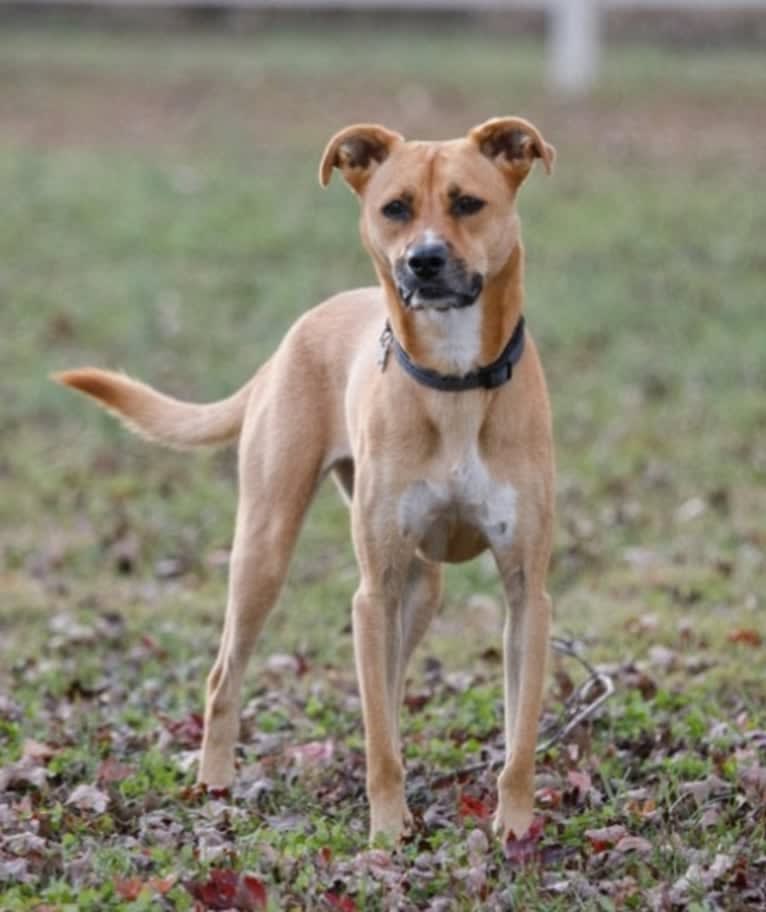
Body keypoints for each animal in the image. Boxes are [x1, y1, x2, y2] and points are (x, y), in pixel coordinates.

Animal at [55, 117, 560, 844]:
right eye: (395, 208)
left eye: (468, 203)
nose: (423, 261)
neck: (457, 379)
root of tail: (291, 337)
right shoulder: (371, 594)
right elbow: (379, 738)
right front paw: (386, 832)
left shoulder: (527, 595)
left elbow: (519, 740)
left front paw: (515, 828)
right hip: (266, 550)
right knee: (226, 675)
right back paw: (215, 785)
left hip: (417, 588)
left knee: (390, 681)